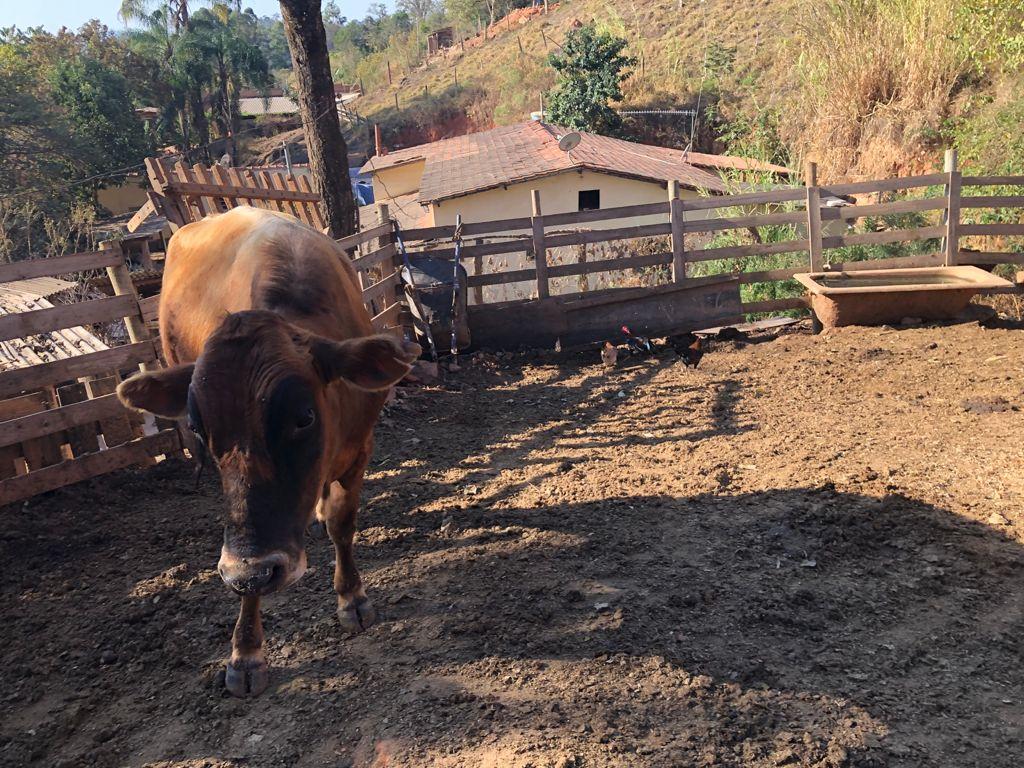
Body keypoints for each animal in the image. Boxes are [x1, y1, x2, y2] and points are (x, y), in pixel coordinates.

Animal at [114, 207, 413, 700]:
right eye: (198, 426)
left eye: (304, 417)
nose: (254, 568)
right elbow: (244, 565)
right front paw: (246, 652)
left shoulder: (359, 451)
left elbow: (341, 524)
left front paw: (351, 596)